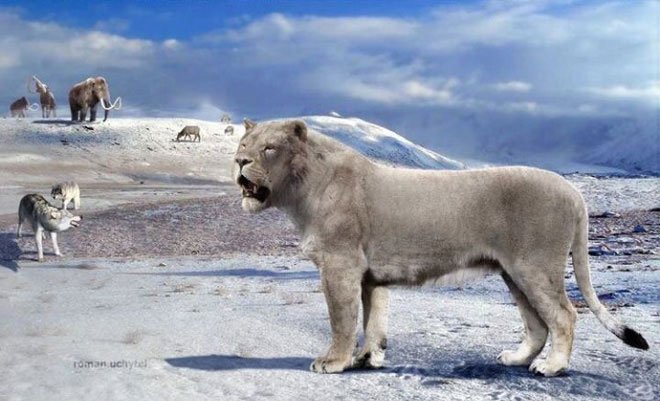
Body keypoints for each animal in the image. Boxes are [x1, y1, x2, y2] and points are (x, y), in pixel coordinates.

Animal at [232, 119, 649, 377]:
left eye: (269, 148)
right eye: (243, 144)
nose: (239, 161)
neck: (300, 191)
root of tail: (573, 191)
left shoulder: (340, 265)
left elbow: (342, 319)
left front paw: (333, 362)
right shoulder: (367, 275)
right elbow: (373, 318)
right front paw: (369, 358)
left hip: (535, 267)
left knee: (564, 316)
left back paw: (551, 367)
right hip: (514, 273)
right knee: (537, 324)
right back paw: (516, 359)